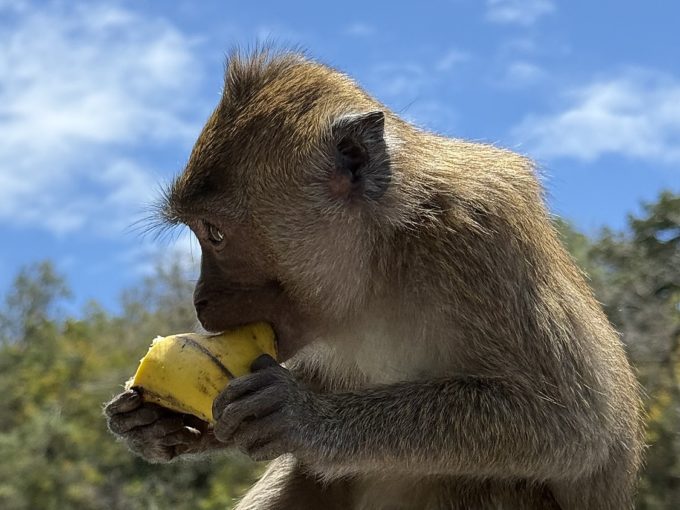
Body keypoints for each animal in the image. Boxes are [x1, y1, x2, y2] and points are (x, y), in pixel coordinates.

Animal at [104, 49, 644, 509]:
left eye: (214, 233)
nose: (198, 299)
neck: (383, 260)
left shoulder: (482, 239)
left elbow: (575, 426)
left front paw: (304, 416)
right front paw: (164, 425)